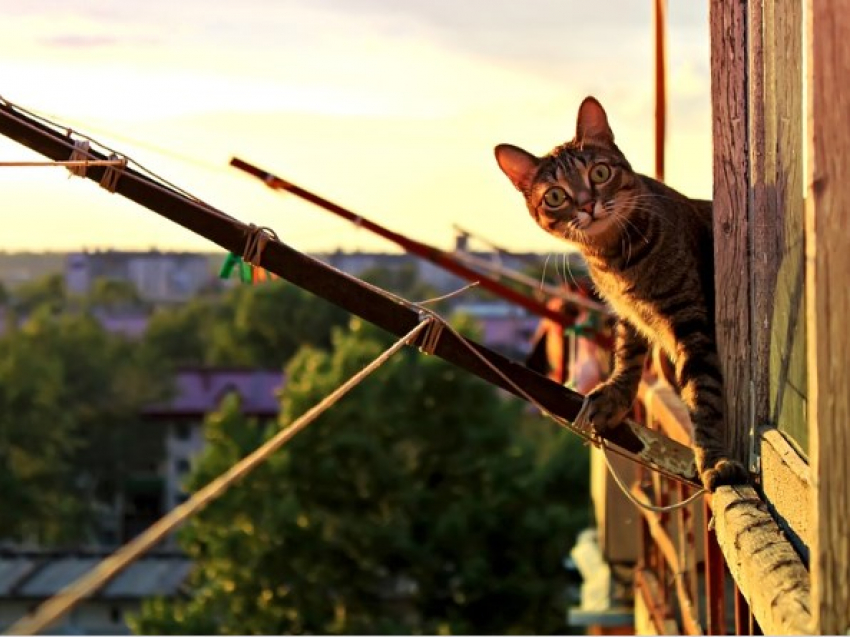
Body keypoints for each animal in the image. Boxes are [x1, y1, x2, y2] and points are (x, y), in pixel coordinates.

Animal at [494, 95, 744, 492]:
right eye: (555, 196)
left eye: (599, 173)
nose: (586, 204)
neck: (615, 259)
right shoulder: (627, 315)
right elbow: (627, 356)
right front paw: (615, 395)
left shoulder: (691, 319)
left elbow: (702, 394)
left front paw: (713, 458)